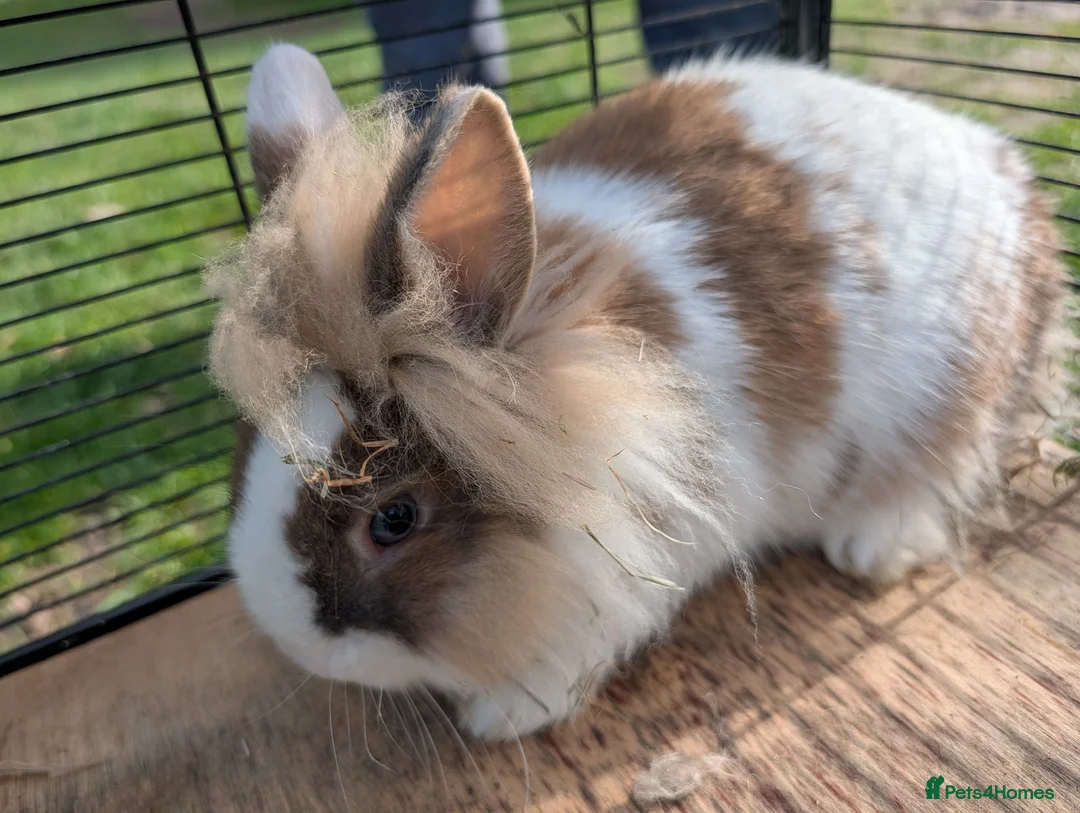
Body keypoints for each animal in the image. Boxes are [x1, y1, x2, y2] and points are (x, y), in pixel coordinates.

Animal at [205, 42, 1068, 742]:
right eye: (243, 445)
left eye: (393, 519)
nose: (293, 641)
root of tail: (1010, 172)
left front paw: (503, 715)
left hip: (951, 396)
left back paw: (875, 547)